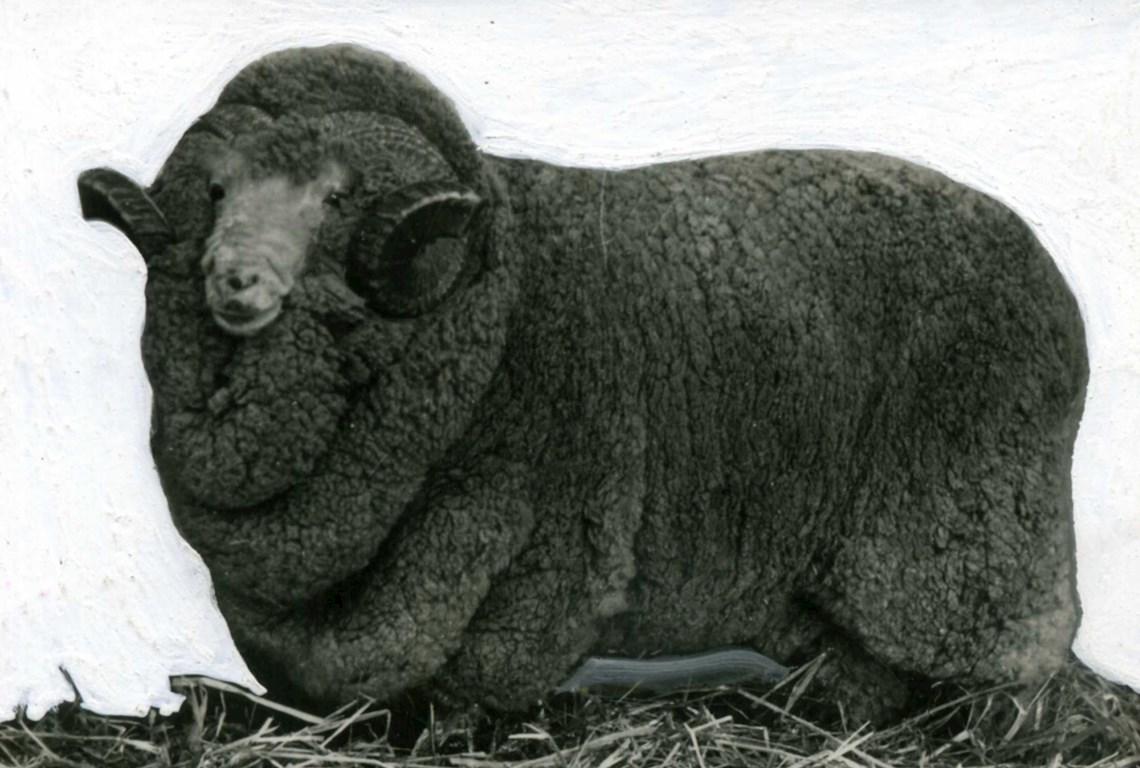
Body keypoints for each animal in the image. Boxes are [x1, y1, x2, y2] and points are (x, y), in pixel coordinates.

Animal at [75, 45, 1089, 720]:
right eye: (215, 193)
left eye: (337, 197)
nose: (234, 280)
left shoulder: (547, 531)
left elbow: (480, 678)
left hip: (962, 536)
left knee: (985, 659)